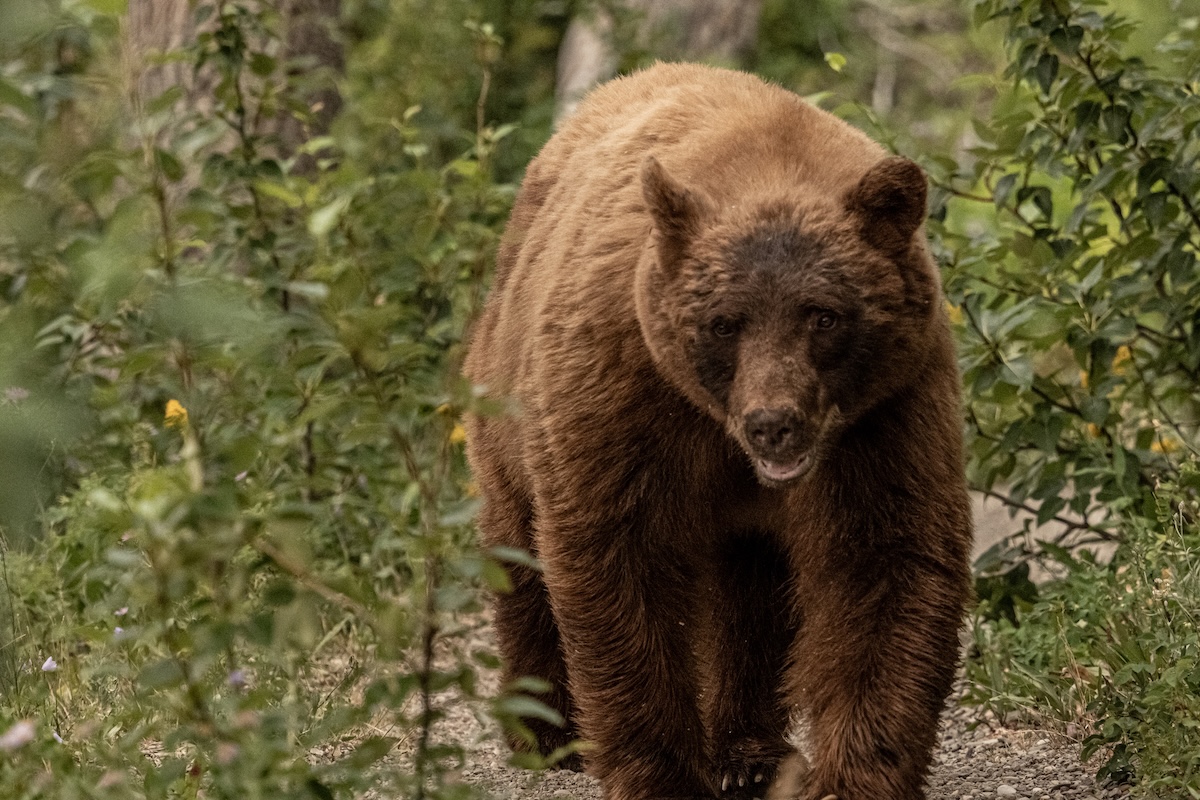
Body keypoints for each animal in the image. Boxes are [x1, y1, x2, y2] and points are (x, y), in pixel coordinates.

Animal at [464, 62, 973, 800]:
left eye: (824, 315)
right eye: (724, 322)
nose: (774, 425)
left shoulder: (887, 410)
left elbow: (884, 560)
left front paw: (855, 775)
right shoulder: (625, 390)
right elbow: (621, 557)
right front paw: (661, 773)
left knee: (750, 596)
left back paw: (747, 752)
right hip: (506, 393)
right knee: (519, 551)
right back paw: (545, 730)